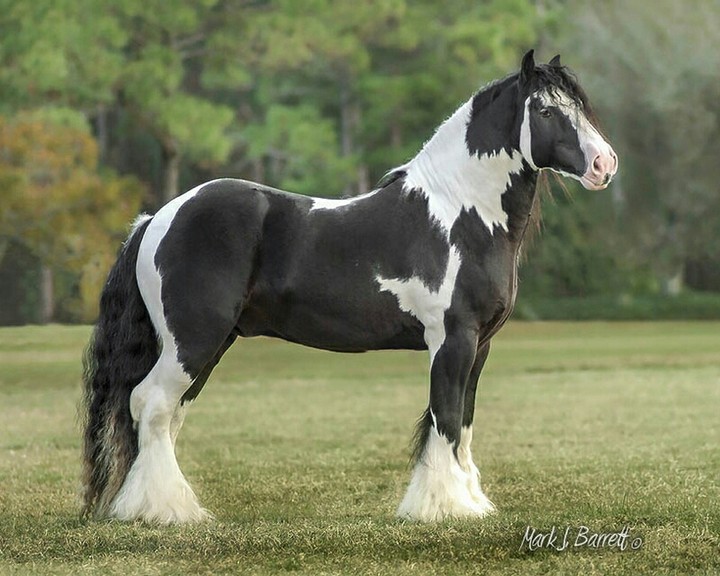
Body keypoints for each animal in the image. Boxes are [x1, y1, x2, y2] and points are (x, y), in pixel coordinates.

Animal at [81, 50, 617, 524]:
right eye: (545, 110)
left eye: (581, 108)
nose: (604, 164)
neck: (459, 214)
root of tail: (158, 218)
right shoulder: (453, 339)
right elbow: (444, 418)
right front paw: (443, 509)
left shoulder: (479, 345)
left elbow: (462, 421)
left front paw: (468, 502)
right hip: (192, 343)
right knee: (150, 405)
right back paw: (164, 511)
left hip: (205, 346)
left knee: (164, 416)